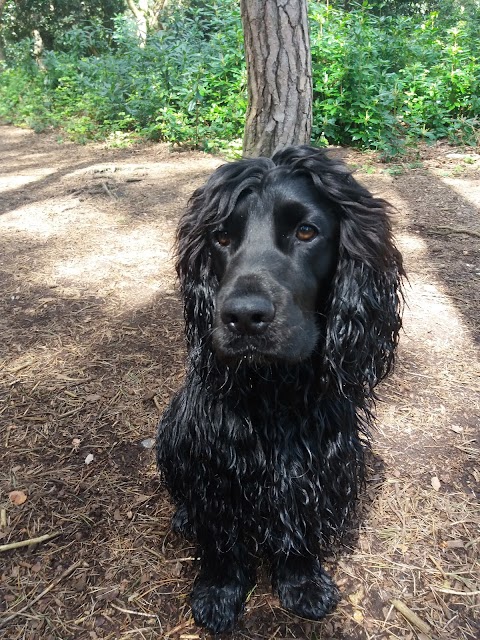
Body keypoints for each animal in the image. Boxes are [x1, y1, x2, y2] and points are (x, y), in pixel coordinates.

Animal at [156, 148, 404, 632]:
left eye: (306, 231)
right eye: (221, 237)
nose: (243, 317)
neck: (273, 392)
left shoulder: (320, 462)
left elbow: (302, 522)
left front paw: (301, 580)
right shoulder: (215, 465)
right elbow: (219, 536)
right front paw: (219, 591)